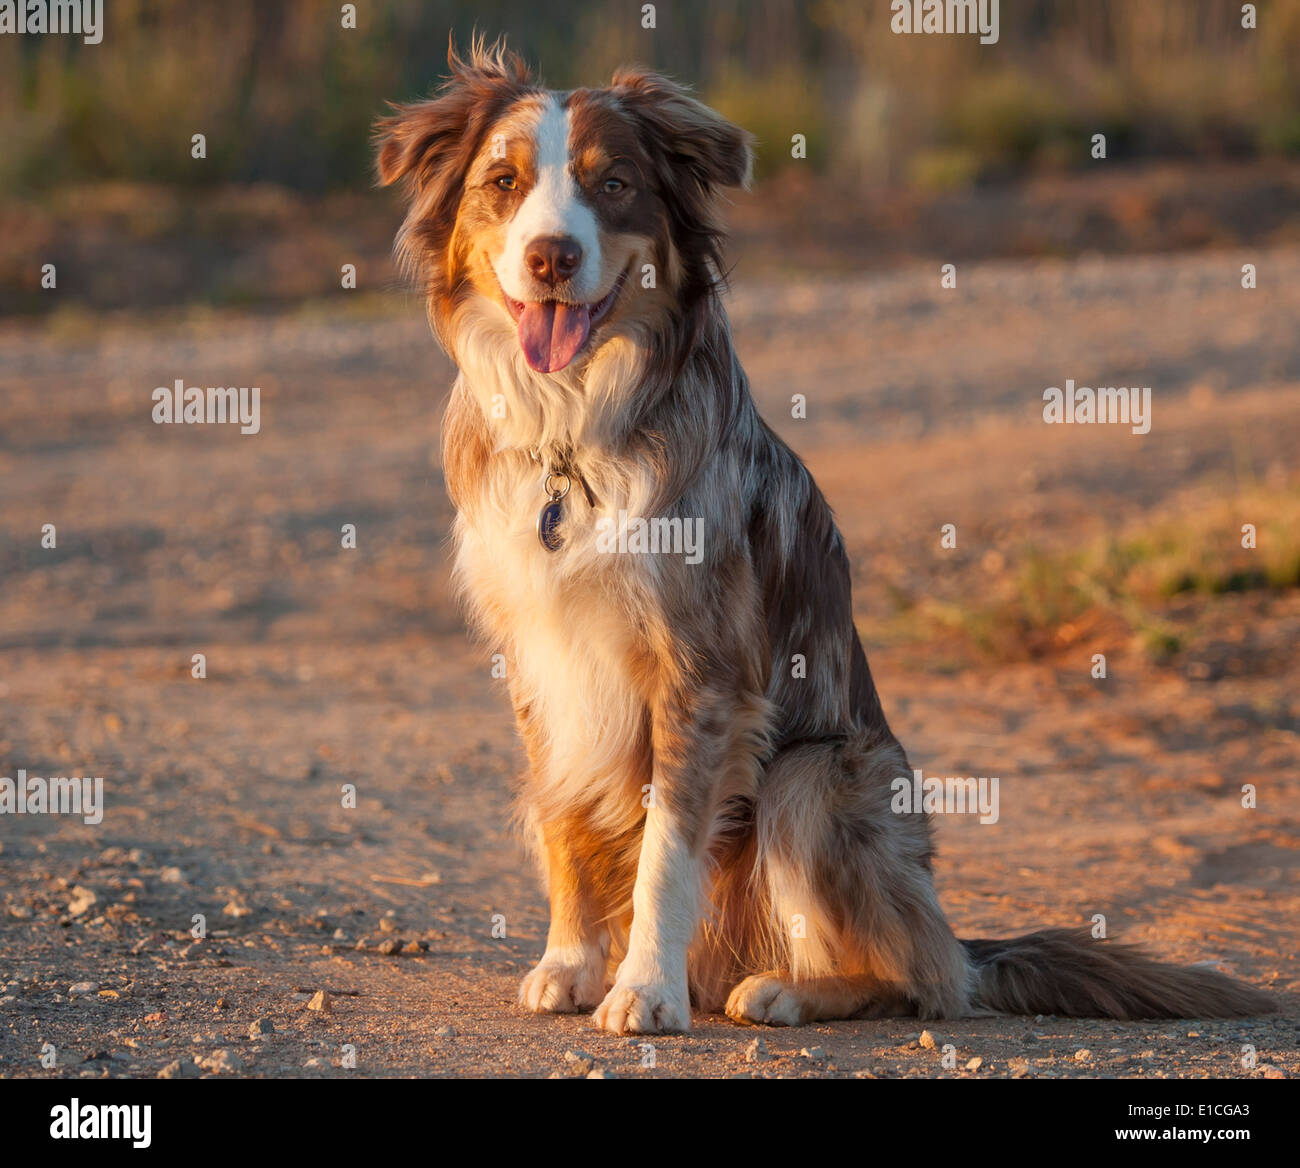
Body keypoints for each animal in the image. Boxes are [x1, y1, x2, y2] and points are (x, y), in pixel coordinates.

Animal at [374, 40, 1268, 1035]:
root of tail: (962, 937)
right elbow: (566, 813)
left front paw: (644, 987)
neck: (575, 425)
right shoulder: (541, 655)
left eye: (613, 184)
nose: (551, 257)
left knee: (917, 977)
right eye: (504, 182)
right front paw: (569, 963)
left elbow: (666, 851)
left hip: (816, 776)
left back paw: (784, 989)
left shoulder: (702, 670)